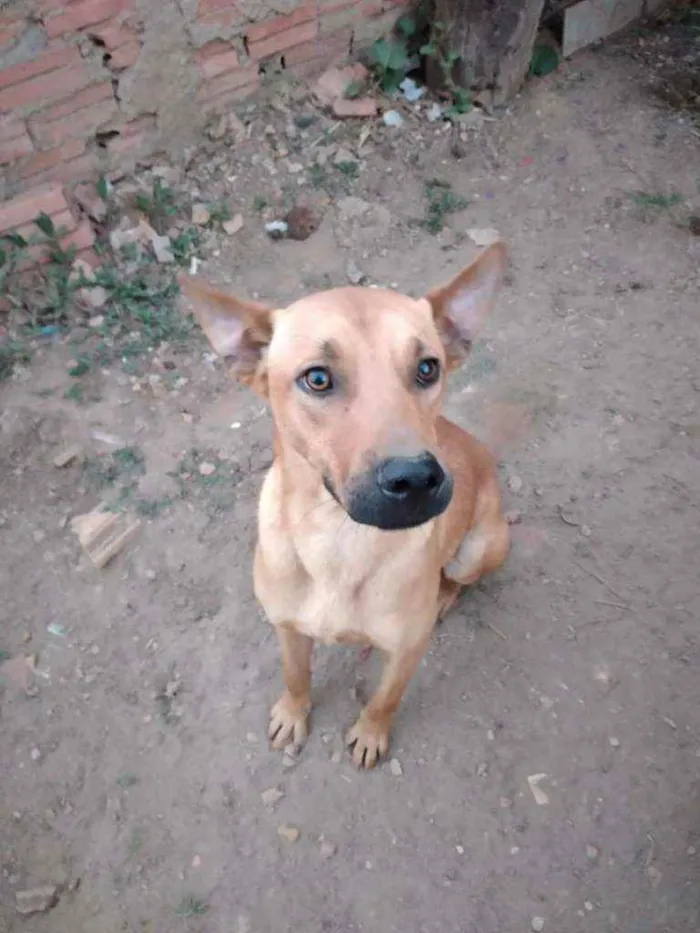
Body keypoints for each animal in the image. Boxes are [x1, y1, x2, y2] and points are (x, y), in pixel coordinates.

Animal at [179, 240, 508, 764]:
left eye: (427, 367)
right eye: (317, 378)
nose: (417, 479)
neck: (340, 541)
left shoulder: (407, 650)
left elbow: (385, 698)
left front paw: (371, 733)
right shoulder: (287, 627)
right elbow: (295, 676)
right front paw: (293, 714)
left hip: (477, 548)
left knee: (459, 577)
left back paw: (444, 594)